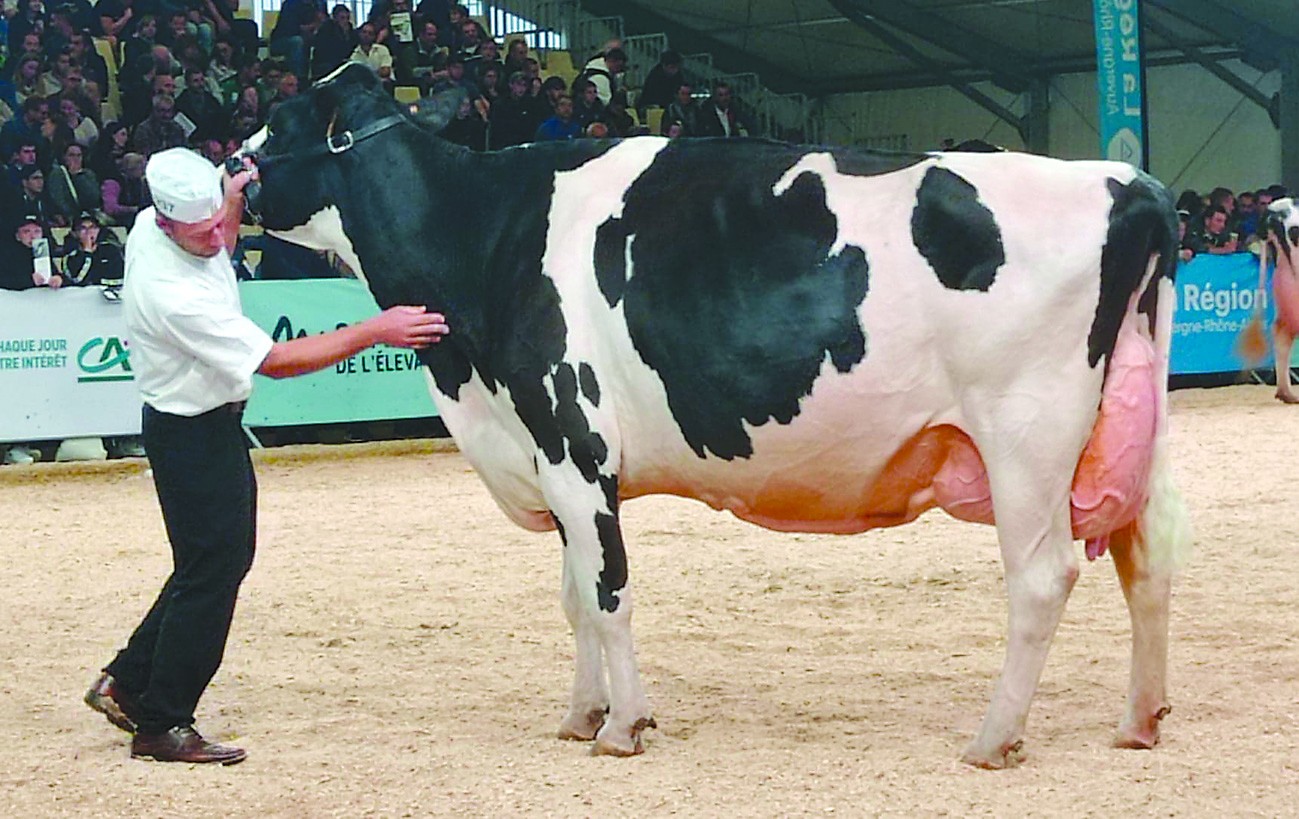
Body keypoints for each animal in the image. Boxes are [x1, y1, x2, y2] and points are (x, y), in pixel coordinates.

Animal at [239, 64, 1189, 769]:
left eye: (276, 122)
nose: (229, 167)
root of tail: (1128, 180)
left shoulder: (572, 437)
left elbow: (608, 592)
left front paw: (623, 726)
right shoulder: (553, 456)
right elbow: (574, 594)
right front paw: (582, 712)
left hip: (1026, 435)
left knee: (1041, 577)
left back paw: (993, 737)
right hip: (1131, 425)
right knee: (1147, 563)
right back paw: (1138, 719)